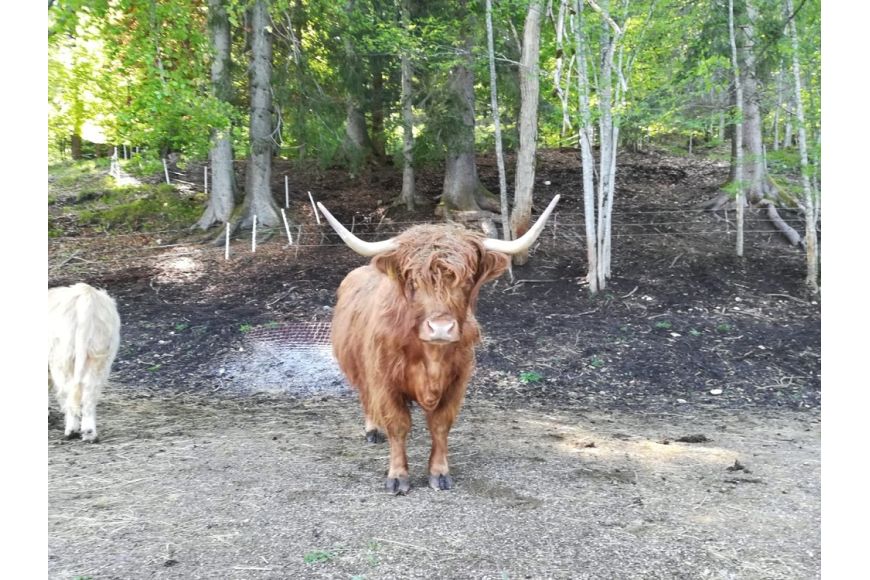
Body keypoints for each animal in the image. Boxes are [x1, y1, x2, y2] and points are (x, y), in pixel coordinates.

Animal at [47, 284, 121, 442]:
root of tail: (86, 293)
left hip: (63, 357)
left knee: (69, 391)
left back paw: (71, 431)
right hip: (100, 356)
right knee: (89, 391)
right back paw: (89, 433)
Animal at [318, 196, 560, 494]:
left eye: (467, 279)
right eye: (413, 280)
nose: (441, 328)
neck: (430, 357)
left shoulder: (457, 381)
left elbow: (441, 425)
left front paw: (439, 473)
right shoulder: (384, 380)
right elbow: (397, 425)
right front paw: (397, 477)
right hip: (361, 369)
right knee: (366, 398)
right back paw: (373, 430)